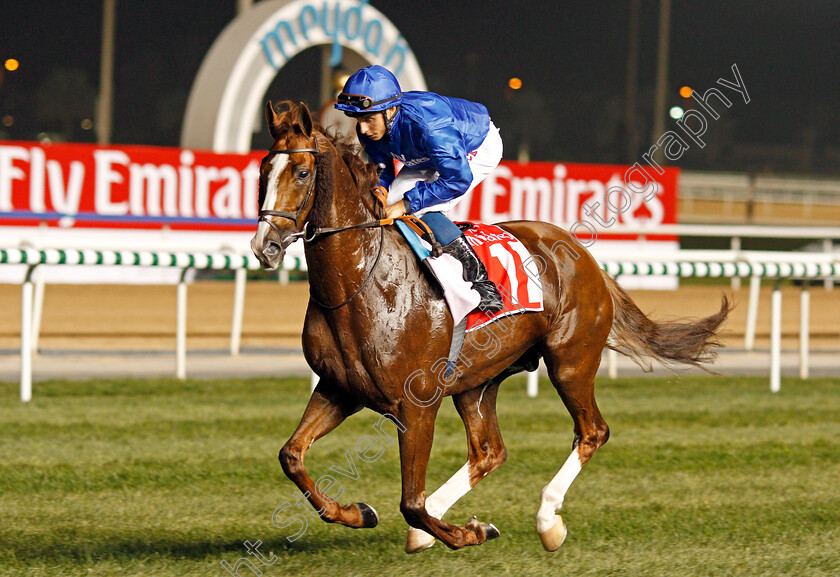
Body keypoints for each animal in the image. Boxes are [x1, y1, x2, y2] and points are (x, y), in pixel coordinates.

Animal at [251, 101, 728, 552]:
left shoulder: (417, 405)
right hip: (477, 381)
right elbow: (291, 456)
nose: (264, 246)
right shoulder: (338, 389)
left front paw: (467, 533)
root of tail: (583, 253)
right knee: (489, 451)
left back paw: (547, 521)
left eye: (302, 171)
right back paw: (436, 528)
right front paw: (358, 512)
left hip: (570, 362)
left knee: (592, 431)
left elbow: (410, 502)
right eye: (262, 170)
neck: (362, 282)